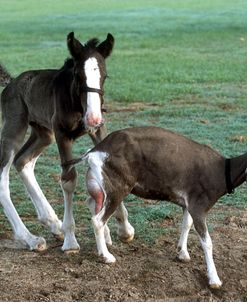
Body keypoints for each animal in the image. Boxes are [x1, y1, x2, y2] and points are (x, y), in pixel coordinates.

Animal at [0, 31, 114, 252]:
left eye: (104, 76)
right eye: (78, 75)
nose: (93, 118)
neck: (77, 103)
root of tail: (11, 82)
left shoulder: (97, 131)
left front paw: (116, 232)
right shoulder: (62, 134)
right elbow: (68, 180)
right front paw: (71, 242)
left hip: (43, 133)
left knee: (22, 161)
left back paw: (53, 223)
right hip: (14, 128)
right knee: (5, 173)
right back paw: (30, 238)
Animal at [66, 126, 247, 290]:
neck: (220, 171)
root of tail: (93, 152)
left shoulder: (188, 203)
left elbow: (186, 225)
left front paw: (182, 253)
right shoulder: (198, 206)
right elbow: (207, 241)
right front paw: (214, 279)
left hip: (100, 186)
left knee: (92, 203)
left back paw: (106, 240)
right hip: (117, 187)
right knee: (98, 219)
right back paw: (106, 256)